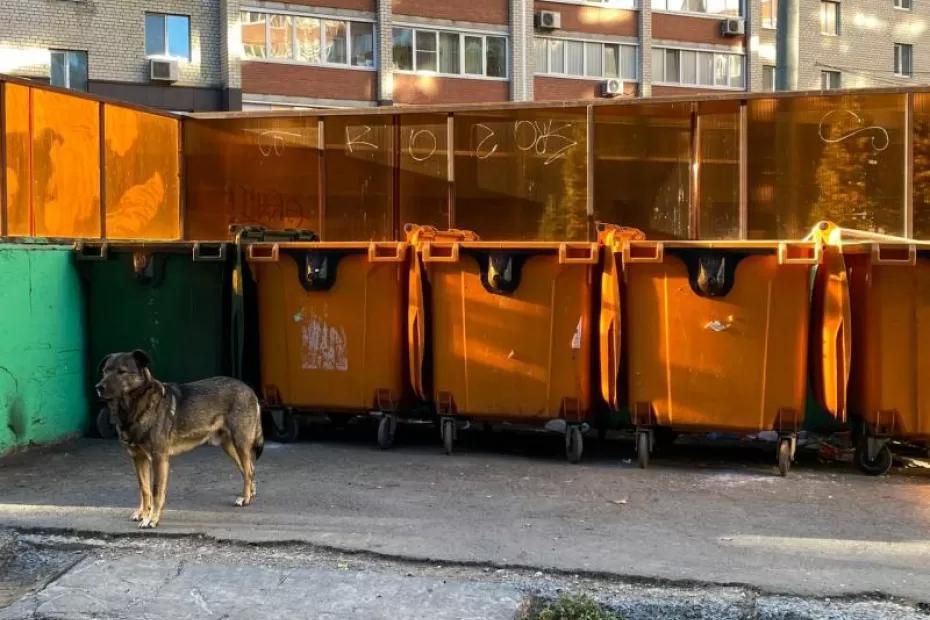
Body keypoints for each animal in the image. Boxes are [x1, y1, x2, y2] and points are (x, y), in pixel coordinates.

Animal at [96, 348, 262, 528]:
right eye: (105, 371)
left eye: (122, 372)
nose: (98, 387)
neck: (136, 406)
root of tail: (249, 389)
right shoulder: (138, 458)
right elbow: (144, 489)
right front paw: (143, 513)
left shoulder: (159, 458)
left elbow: (156, 491)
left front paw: (152, 519)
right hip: (229, 446)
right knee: (249, 469)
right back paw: (250, 493)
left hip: (240, 442)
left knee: (248, 469)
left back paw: (246, 498)